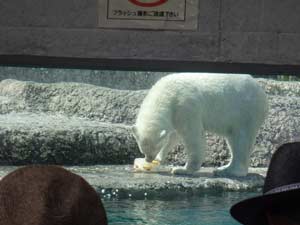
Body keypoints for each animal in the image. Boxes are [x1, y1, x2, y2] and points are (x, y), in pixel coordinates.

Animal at [132, 73, 268, 177]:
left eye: (155, 147)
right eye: (142, 149)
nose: (149, 159)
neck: (166, 93)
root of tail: (262, 93)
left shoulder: (185, 106)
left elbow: (193, 136)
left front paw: (182, 169)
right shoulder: (175, 114)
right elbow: (173, 136)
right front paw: (159, 158)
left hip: (245, 112)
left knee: (241, 140)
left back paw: (231, 171)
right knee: (233, 140)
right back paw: (224, 168)